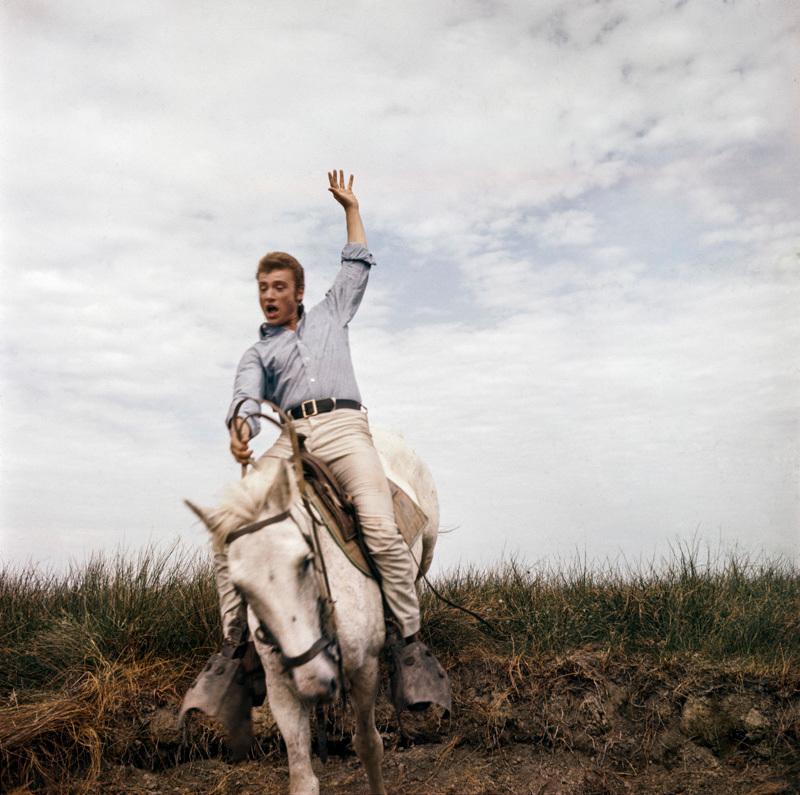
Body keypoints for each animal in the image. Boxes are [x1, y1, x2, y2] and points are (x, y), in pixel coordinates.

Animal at [186, 430, 438, 795]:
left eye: (305, 560)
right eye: (239, 586)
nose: (315, 680)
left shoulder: (364, 669)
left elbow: (368, 745)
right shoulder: (282, 688)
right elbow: (302, 777)